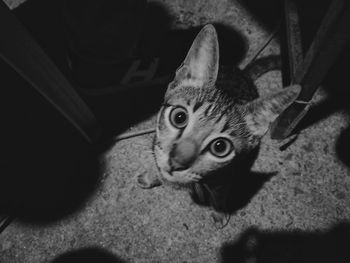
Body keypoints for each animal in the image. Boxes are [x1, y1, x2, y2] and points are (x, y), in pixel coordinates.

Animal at [137, 23, 300, 228]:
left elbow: (220, 194)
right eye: (179, 117)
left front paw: (219, 211)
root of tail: (242, 73)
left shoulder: (224, 176)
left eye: (220, 147)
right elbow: (157, 161)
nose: (176, 162)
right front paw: (152, 175)